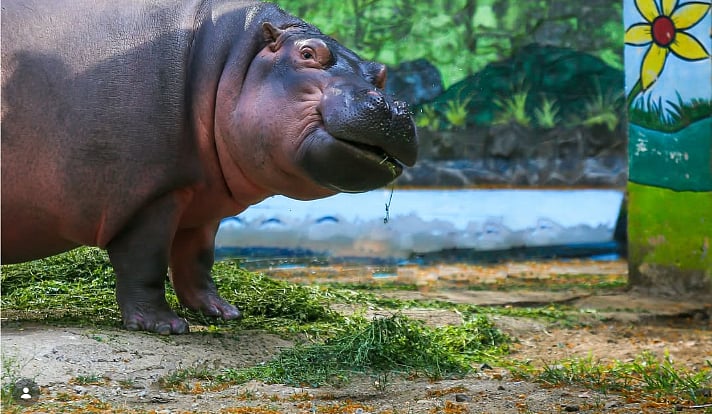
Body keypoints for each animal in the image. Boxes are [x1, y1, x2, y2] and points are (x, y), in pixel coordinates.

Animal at [1, 0, 418, 334]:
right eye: (308, 53)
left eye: (380, 72)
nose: (392, 106)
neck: (230, 61)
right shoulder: (149, 196)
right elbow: (146, 262)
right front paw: (166, 327)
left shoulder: (202, 200)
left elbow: (197, 261)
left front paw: (224, 312)